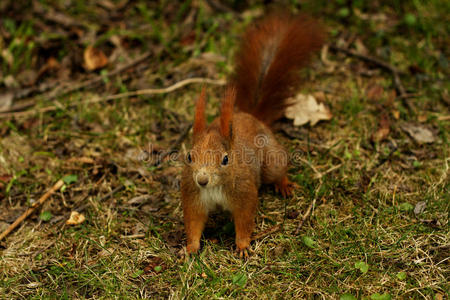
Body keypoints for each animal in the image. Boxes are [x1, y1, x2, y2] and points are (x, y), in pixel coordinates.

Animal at [181, 11, 326, 255]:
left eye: (225, 159)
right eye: (190, 157)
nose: (201, 180)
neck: (215, 188)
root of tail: (251, 116)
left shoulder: (244, 194)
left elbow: (244, 220)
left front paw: (242, 246)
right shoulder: (193, 197)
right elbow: (193, 223)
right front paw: (190, 248)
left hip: (272, 159)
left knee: (278, 169)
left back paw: (283, 185)